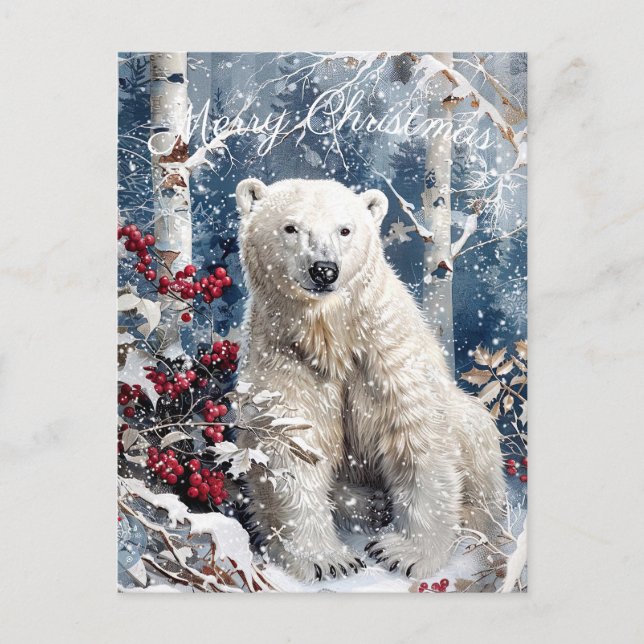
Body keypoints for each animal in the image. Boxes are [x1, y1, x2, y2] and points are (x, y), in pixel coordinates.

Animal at [234, 177, 505, 582]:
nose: (324, 270)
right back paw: (367, 504)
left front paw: (404, 552)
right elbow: (290, 443)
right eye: (290, 227)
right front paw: (327, 560)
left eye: (345, 230)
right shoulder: (284, 356)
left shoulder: (387, 352)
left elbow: (417, 436)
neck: (330, 335)